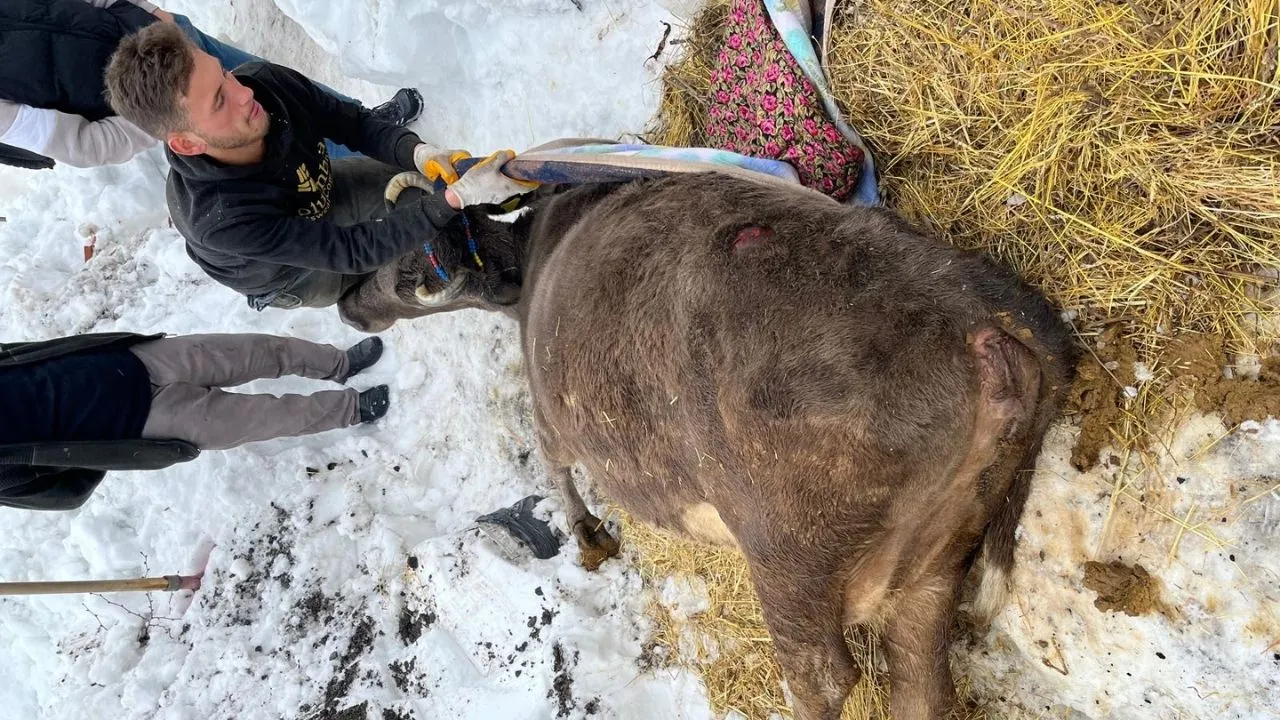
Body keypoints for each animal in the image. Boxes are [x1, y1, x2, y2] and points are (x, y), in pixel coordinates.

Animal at [335, 174, 1075, 717]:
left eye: (396, 271)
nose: (345, 302)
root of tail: (986, 325)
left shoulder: (552, 417)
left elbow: (557, 473)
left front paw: (588, 539)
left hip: (791, 550)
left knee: (820, 679)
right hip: (933, 563)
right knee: (921, 686)